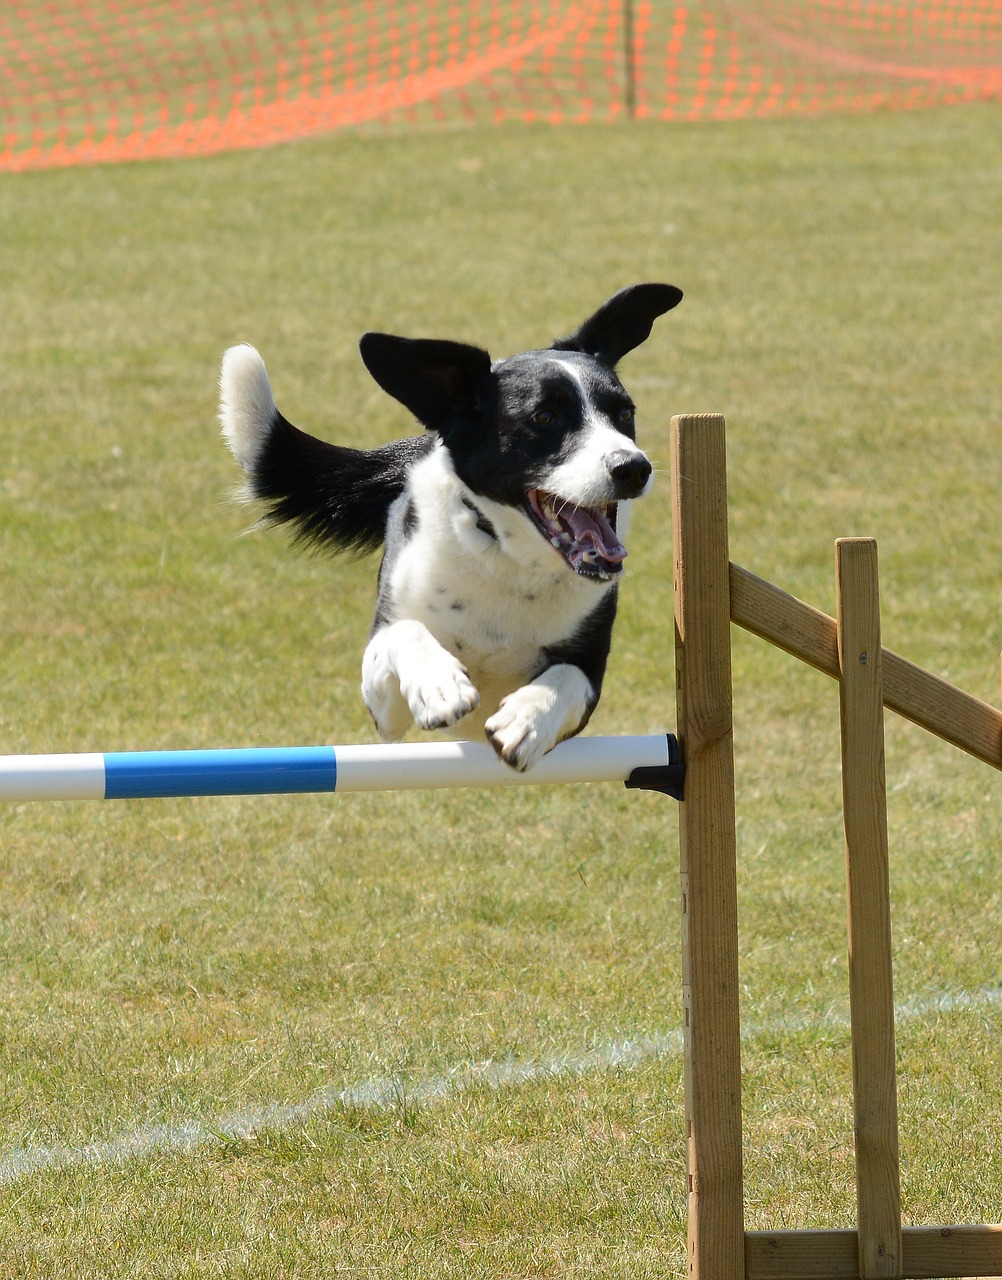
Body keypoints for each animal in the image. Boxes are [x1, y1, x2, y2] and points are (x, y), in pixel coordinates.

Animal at [221, 282, 680, 768]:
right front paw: (438, 685)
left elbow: (568, 677)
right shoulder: (382, 707)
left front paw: (527, 719)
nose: (633, 467)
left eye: (625, 414)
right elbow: (405, 632)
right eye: (544, 417)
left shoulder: (590, 667)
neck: (509, 563)